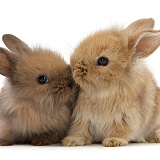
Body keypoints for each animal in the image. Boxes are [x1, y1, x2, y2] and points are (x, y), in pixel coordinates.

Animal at [62, 17, 160, 146]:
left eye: (103, 60)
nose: (73, 67)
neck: (104, 92)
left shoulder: (125, 118)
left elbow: (120, 130)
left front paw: (113, 141)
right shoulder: (83, 118)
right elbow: (80, 131)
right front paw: (70, 141)